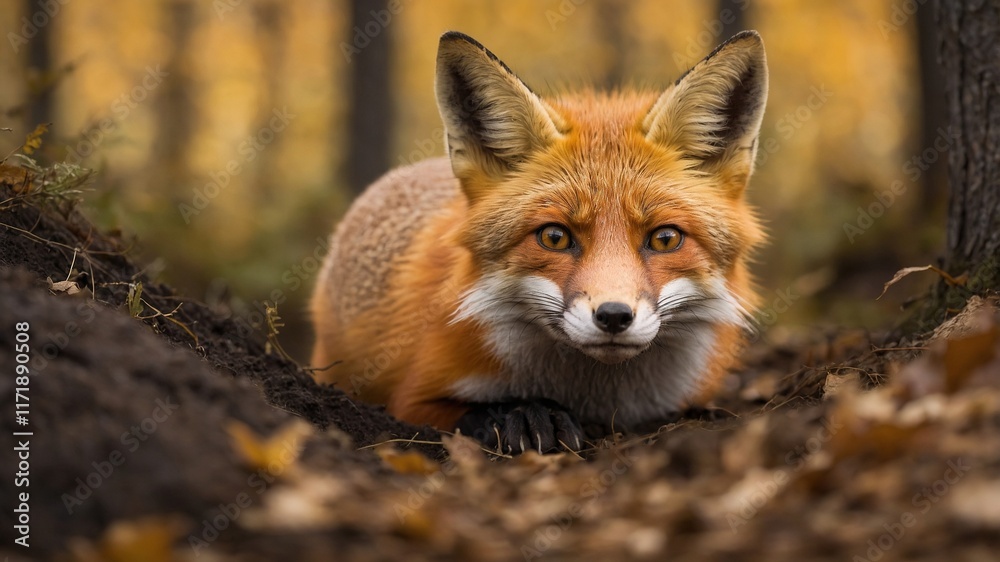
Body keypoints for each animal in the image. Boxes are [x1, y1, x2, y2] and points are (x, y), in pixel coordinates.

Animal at [311, 30, 768, 454]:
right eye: (554, 236)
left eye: (666, 238)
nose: (614, 316)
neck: (591, 397)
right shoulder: (409, 397)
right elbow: (467, 410)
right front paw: (524, 415)